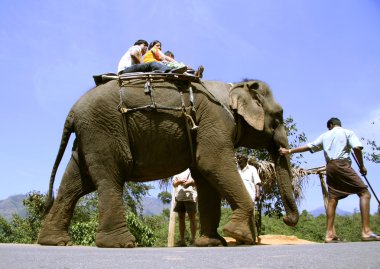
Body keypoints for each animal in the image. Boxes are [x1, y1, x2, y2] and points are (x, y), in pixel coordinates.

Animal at [37, 74, 300, 247]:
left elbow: (205, 175)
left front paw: (212, 243)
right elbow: (213, 164)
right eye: (278, 117)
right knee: (108, 177)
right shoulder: (216, 121)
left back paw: (55, 242)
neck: (235, 86)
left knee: (76, 181)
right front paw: (237, 235)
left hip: (89, 134)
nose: (287, 219)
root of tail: (72, 112)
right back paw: (121, 244)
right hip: (103, 130)